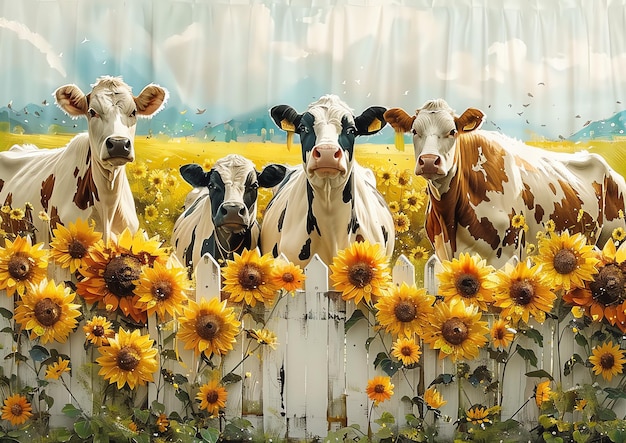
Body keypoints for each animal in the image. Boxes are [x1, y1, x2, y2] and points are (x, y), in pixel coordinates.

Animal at [382, 99, 624, 268]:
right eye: (414, 131)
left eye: (452, 131)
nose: (430, 161)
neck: (449, 218)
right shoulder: (442, 254)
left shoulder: (505, 255)